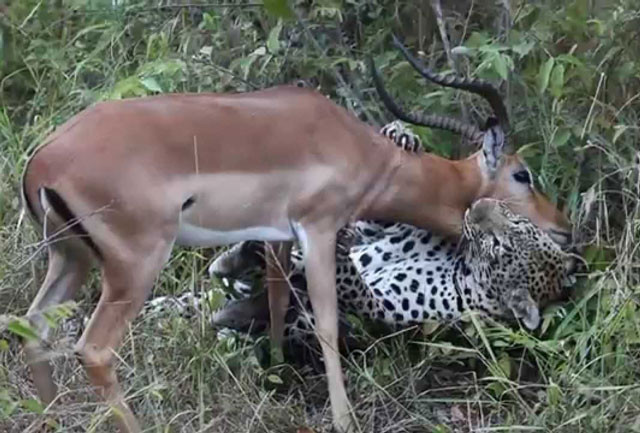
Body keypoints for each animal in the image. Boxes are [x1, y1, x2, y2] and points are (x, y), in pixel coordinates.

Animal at [21, 36, 571, 433]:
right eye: (522, 175)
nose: (564, 230)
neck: (356, 146)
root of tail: (41, 162)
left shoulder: (278, 234)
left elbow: (279, 296)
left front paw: (277, 374)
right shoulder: (321, 229)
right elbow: (327, 323)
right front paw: (344, 420)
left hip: (70, 259)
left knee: (34, 328)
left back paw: (49, 421)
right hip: (134, 267)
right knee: (93, 349)